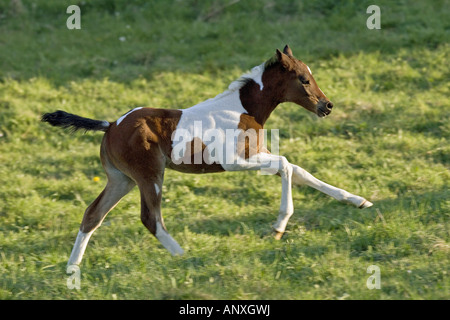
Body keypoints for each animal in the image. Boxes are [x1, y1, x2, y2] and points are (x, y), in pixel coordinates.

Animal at [41, 44, 372, 264]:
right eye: (304, 79)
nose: (327, 106)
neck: (243, 110)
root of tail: (111, 125)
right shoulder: (235, 162)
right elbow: (286, 165)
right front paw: (279, 227)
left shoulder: (258, 154)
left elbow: (300, 171)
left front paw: (358, 200)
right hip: (149, 175)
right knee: (150, 218)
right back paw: (184, 256)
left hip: (122, 179)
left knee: (92, 215)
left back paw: (73, 271)